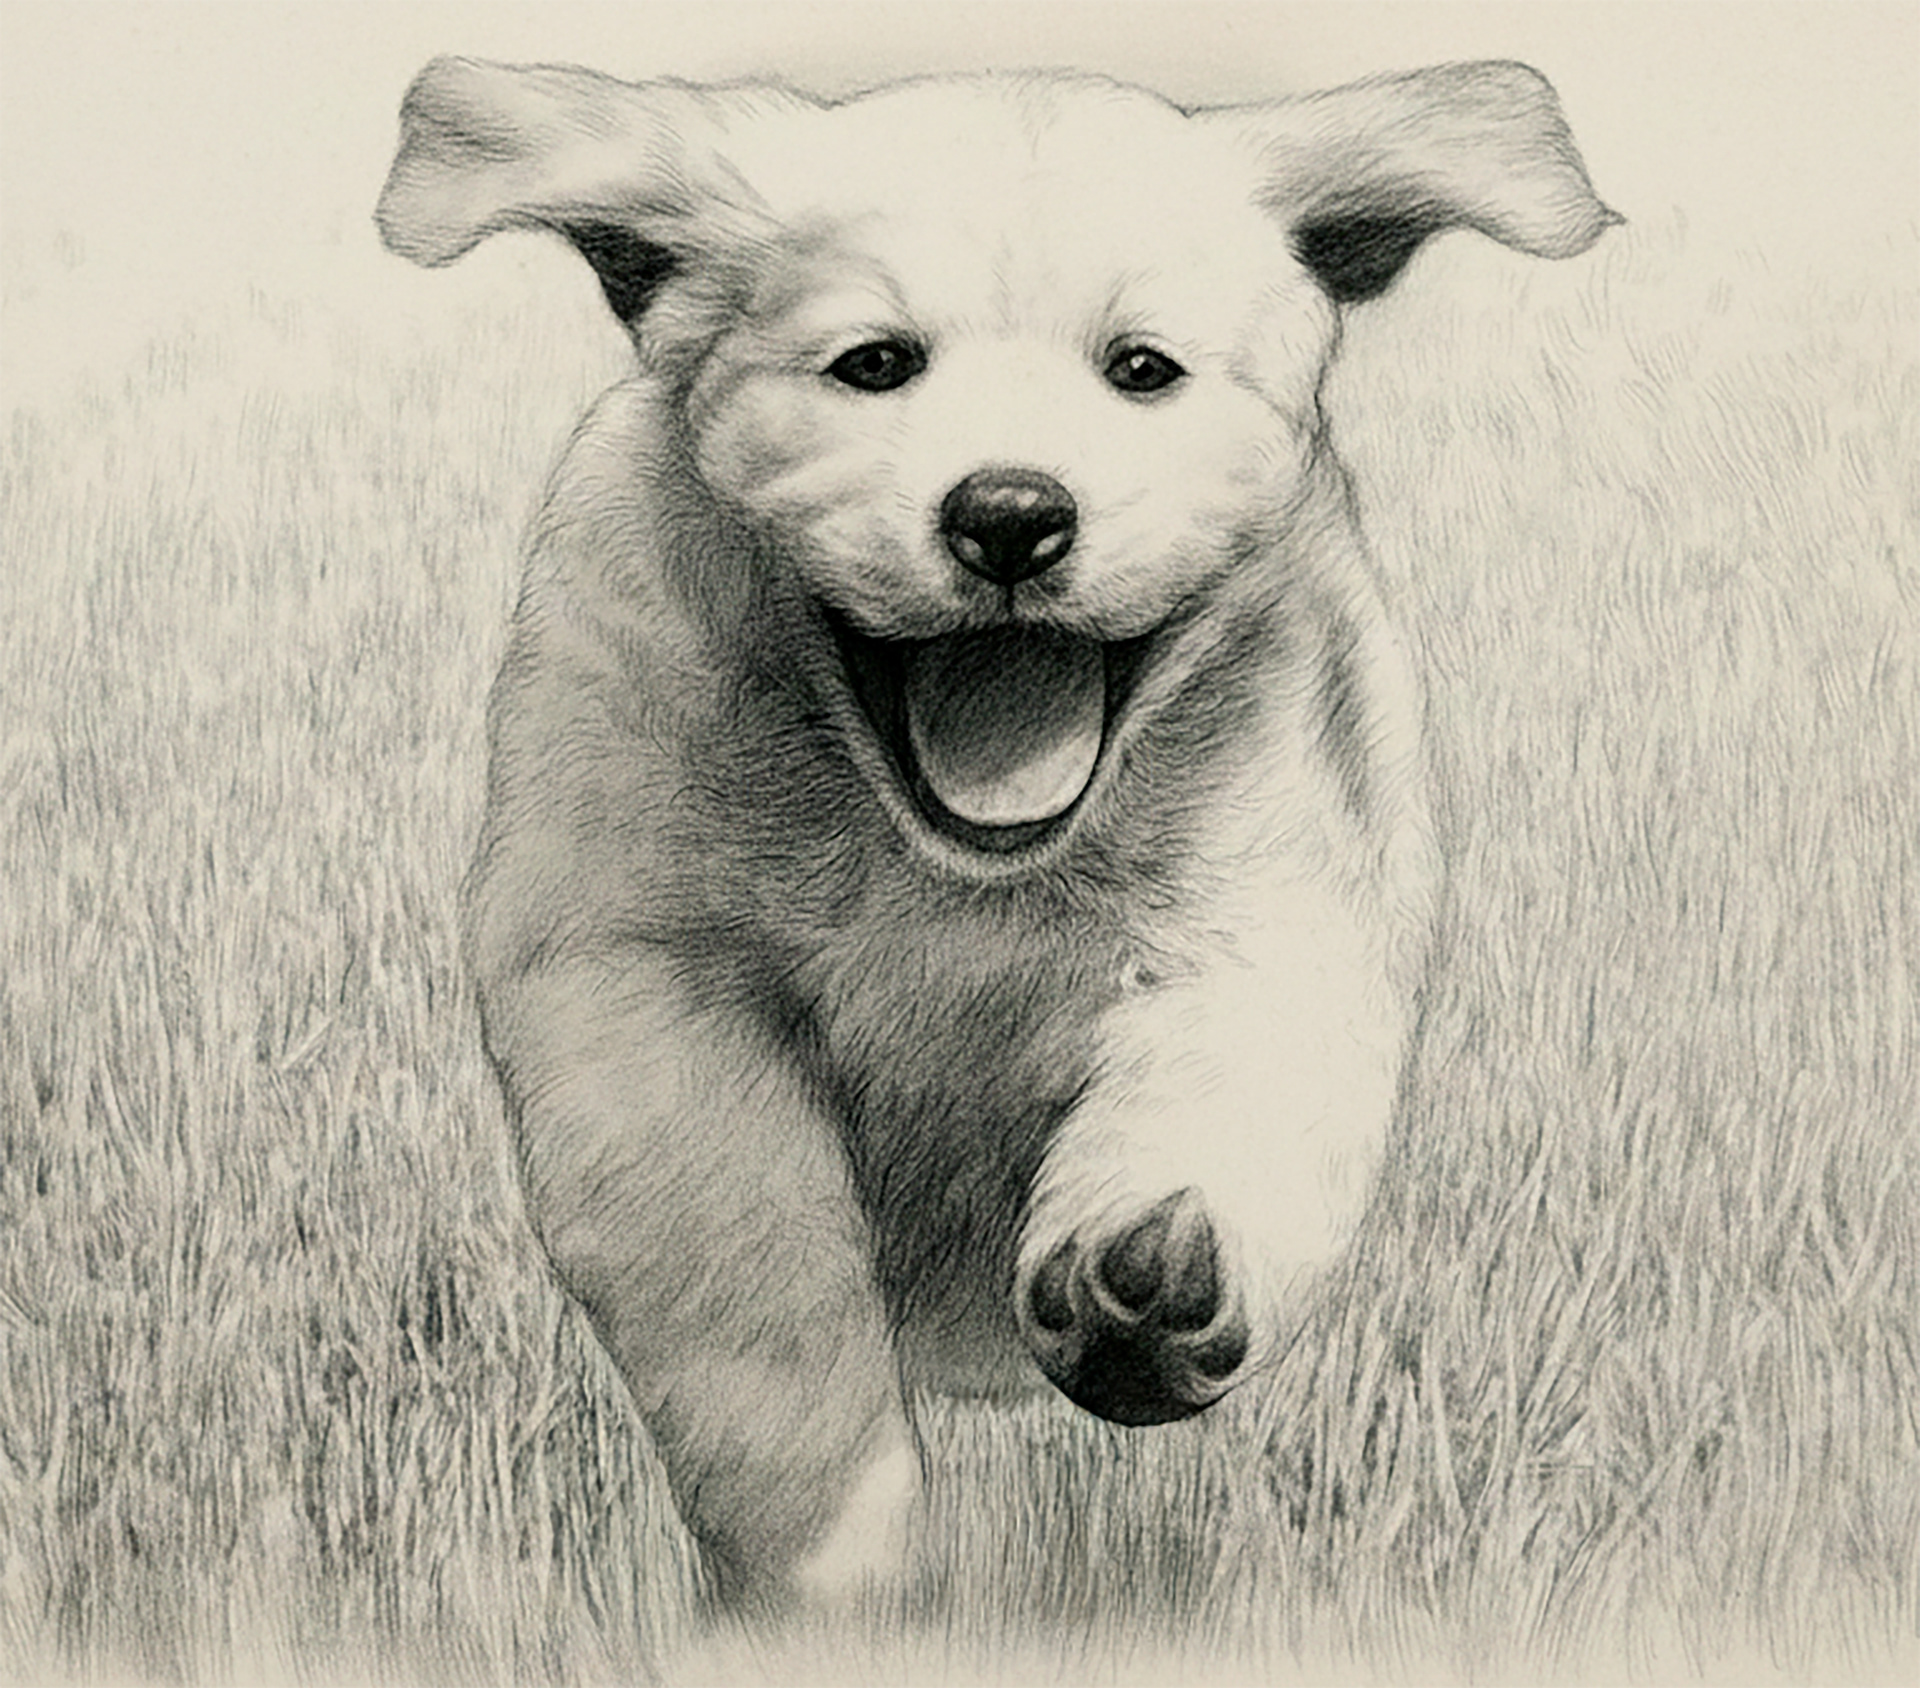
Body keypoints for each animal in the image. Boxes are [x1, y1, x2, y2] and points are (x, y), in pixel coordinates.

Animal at [378, 56, 1613, 1613]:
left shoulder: (1285, 890)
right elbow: (739, 1267)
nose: (1011, 513)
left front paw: (1148, 1291)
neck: (956, 866)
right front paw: (835, 1557)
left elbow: (1241, 1092)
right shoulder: (633, 958)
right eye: (874, 364)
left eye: (1142, 370)